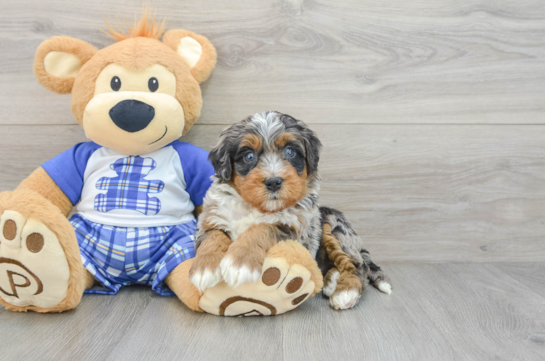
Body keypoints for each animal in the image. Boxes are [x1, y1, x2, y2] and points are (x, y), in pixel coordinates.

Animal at [189, 110, 388, 310]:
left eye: (290, 152)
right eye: (249, 156)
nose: (273, 182)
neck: (257, 207)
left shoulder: (294, 227)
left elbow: (262, 228)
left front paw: (239, 263)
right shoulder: (212, 216)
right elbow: (213, 237)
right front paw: (204, 270)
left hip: (334, 226)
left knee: (357, 265)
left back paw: (345, 292)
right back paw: (331, 281)